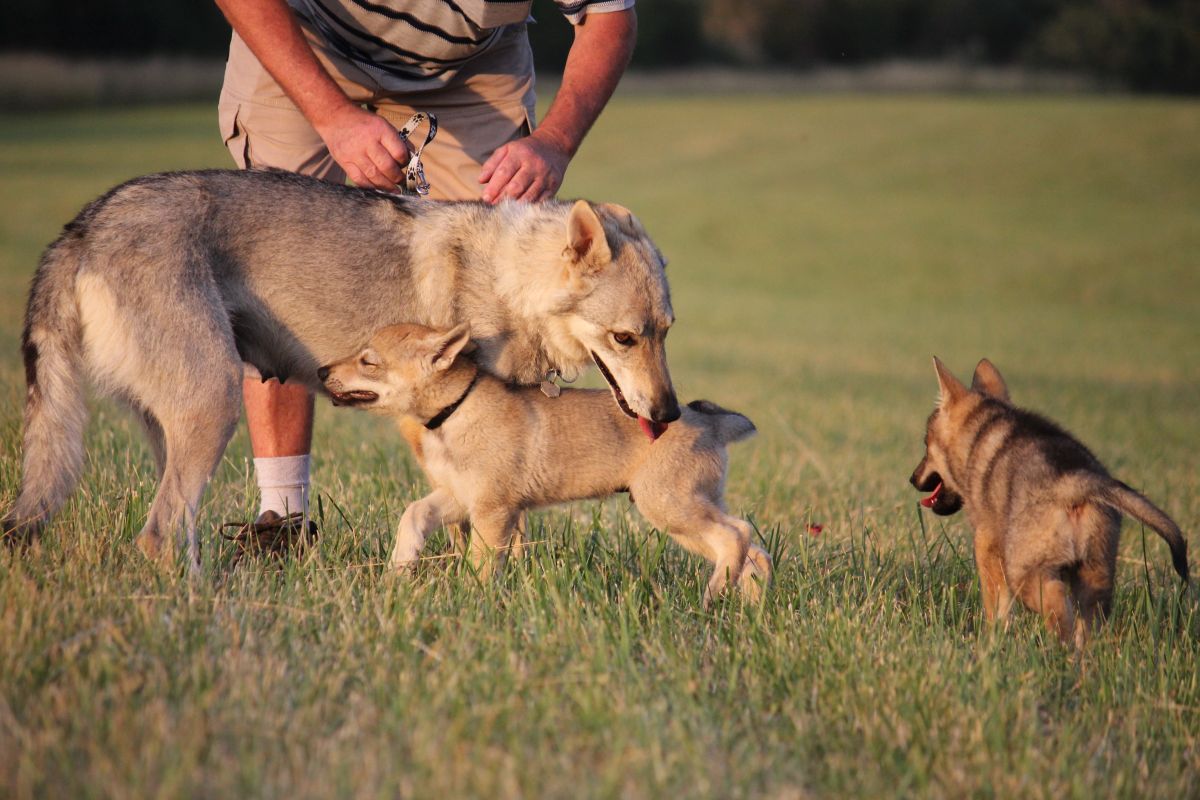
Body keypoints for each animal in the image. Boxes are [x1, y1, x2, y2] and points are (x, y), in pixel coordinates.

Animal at [321, 321, 768, 604]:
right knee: (753, 552)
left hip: (670, 508)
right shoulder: (459, 497)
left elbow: (481, 564)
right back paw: (747, 608)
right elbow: (413, 515)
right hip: (687, 516)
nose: (322, 370)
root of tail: (711, 420)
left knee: (738, 534)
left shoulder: (493, 511)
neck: (456, 410)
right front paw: (400, 568)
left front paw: (471, 600)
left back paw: (713, 594)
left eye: (368, 361)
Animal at [912, 359, 1185, 647]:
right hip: (1095, 571)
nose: (912, 478)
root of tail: (1076, 483)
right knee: (1087, 624)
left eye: (926, 444)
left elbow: (995, 605)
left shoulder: (986, 544)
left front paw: (991, 641)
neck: (976, 435)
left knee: (1058, 611)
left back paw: (1056, 650)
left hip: (1026, 571)